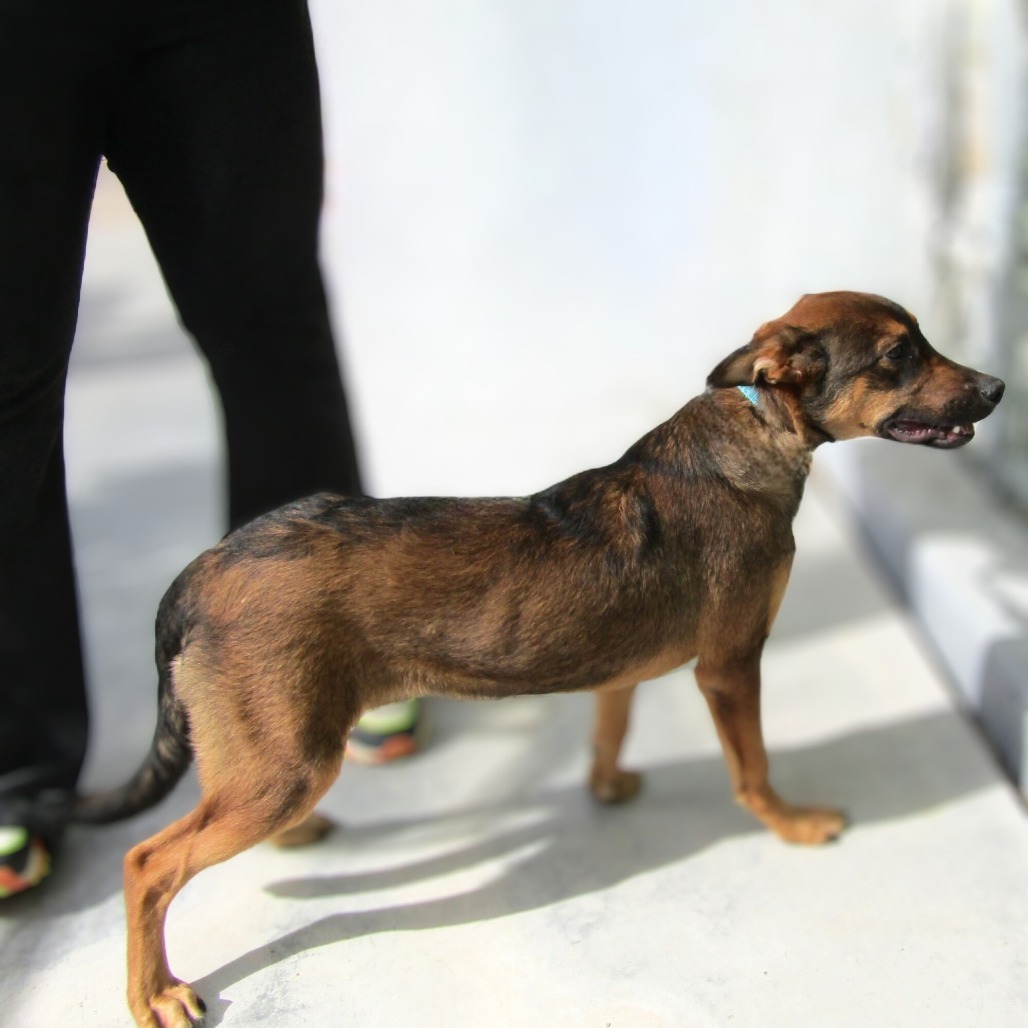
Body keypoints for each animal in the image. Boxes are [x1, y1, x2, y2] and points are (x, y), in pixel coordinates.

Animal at [74, 291, 1003, 1028]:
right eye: (898, 355)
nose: (998, 388)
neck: (756, 428)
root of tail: (202, 571)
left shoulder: (624, 672)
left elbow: (608, 731)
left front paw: (608, 787)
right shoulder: (732, 666)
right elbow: (755, 769)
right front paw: (791, 824)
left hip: (276, 756)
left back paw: (297, 841)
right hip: (287, 765)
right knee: (148, 863)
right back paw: (153, 993)